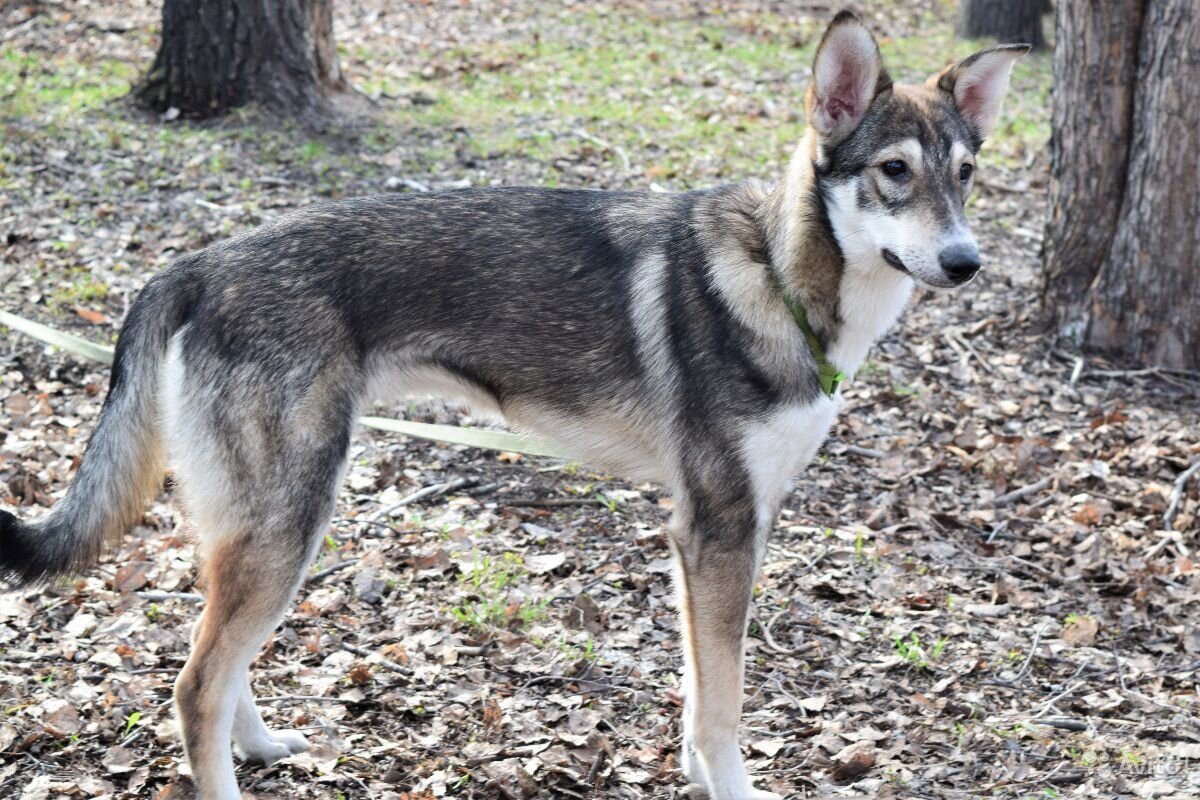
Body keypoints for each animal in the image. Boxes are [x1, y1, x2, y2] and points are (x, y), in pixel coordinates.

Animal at [2, 14, 1032, 800]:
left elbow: (700, 692)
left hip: (266, 527)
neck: (779, 278)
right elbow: (726, 704)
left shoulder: (711, 536)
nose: (966, 262)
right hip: (291, 520)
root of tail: (200, 264)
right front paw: (731, 788)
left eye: (966, 174)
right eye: (894, 171)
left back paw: (258, 744)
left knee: (215, 656)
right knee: (195, 684)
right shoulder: (719, 532)